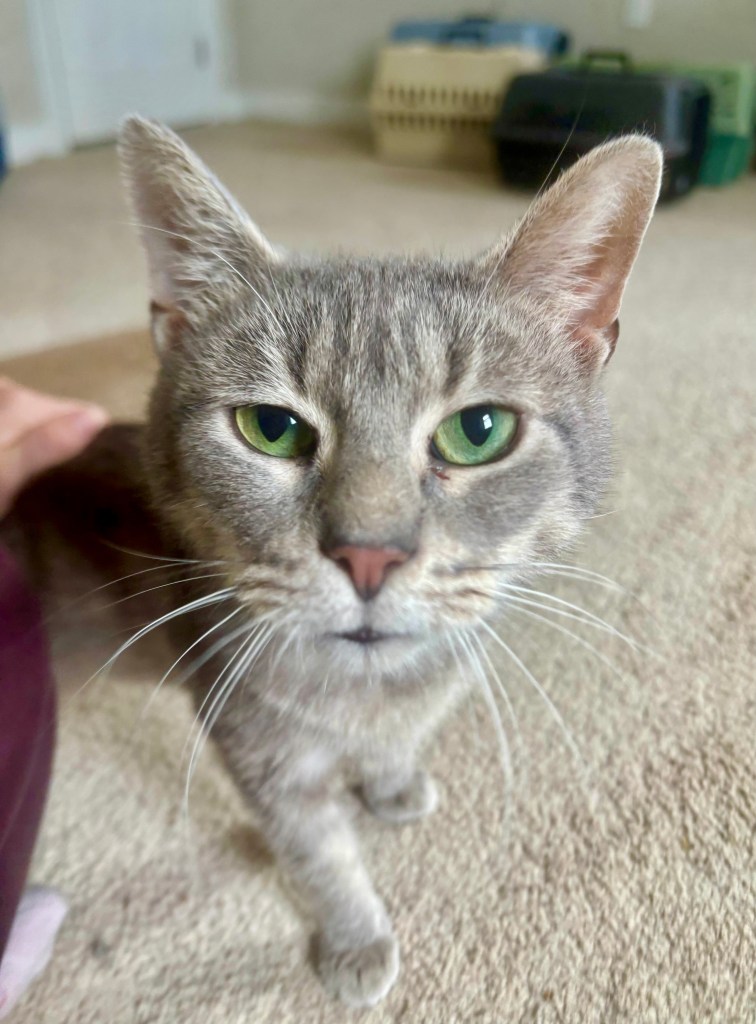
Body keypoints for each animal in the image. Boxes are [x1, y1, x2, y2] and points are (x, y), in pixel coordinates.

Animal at [4, 117, 661, 1007]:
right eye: (272, 428)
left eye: (479, 430)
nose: (368, 553)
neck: (372, 688)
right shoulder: (258, 751)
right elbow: (320, 856)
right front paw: (355, 937)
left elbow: (393, 748)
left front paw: (390, 782)